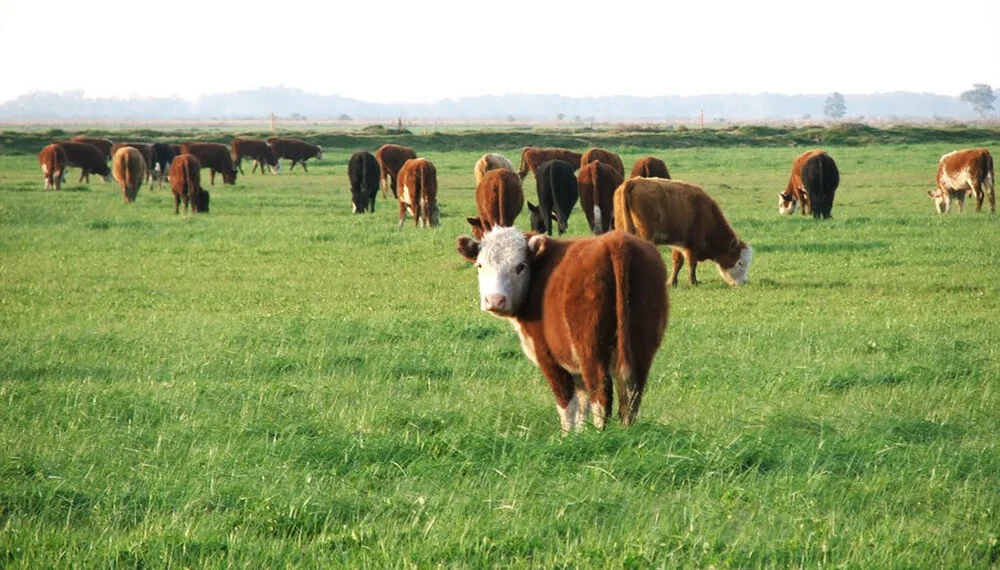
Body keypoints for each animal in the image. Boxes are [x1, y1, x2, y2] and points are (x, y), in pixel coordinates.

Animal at [456, 227, 668, 433]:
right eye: (480, 265)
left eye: (520, 266)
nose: (495, 300)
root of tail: (616, 241)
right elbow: (582, 403)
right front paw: (580, 434)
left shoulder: (547, 356)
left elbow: (566, 403)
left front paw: (566, 436)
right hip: (640, 347)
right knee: (631, 394)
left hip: (590, 347)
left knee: (601, 391)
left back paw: (600, 434)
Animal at [615, 178, 753, 287]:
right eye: (740, 263)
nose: (744, 282)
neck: (706, 213)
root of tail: (633, 182)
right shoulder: (693, 244)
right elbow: (692, 263)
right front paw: (693, 282)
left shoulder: (678, 244)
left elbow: (678, 262)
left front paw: (672, 282)